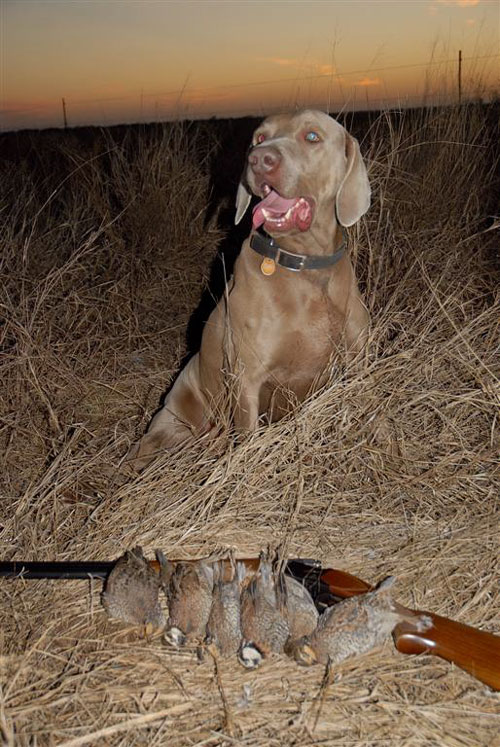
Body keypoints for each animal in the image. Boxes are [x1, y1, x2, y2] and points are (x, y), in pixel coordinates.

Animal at [129, 108, 372, 470]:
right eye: (259, 137)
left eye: (312, 136)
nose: (259, 159)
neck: (303, 265)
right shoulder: (247, 378)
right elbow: (247, 436)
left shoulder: (355, 359)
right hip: (176, 420)